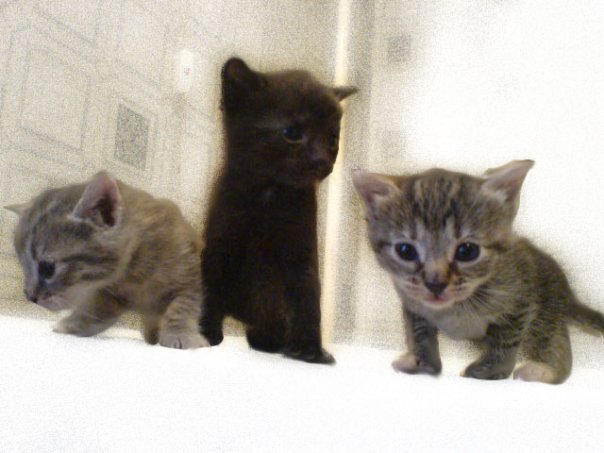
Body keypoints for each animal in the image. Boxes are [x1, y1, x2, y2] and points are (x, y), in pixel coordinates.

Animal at [6, 171, 209, 349]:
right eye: (23, 266)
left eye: (47, 268)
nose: (30, 296)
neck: (136, 271)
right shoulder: (109, 293)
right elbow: (98, 311)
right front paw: (72, 324)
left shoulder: (189, 279)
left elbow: (182, 307)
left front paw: (180, 334)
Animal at [200, 57, 356, 364]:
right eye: (292, 133)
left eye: (332, 140)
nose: (322, 160)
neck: (270, 196)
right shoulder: (218, 244)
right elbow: (207, 288)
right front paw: (202, 334)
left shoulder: (302, 254)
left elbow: (308, 301)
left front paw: (311, 351)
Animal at [353, 160, 604, 384]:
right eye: (405, 250)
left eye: (467, 251)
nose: (435, 284)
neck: (454, 309)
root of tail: (566, 289)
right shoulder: (412, 302)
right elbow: (419, 333)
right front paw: (424, 364)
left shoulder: (522, 302)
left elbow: (506, 341)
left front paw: (489, 371)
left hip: (545, 313)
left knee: (553, 343)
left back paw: (547, 372)